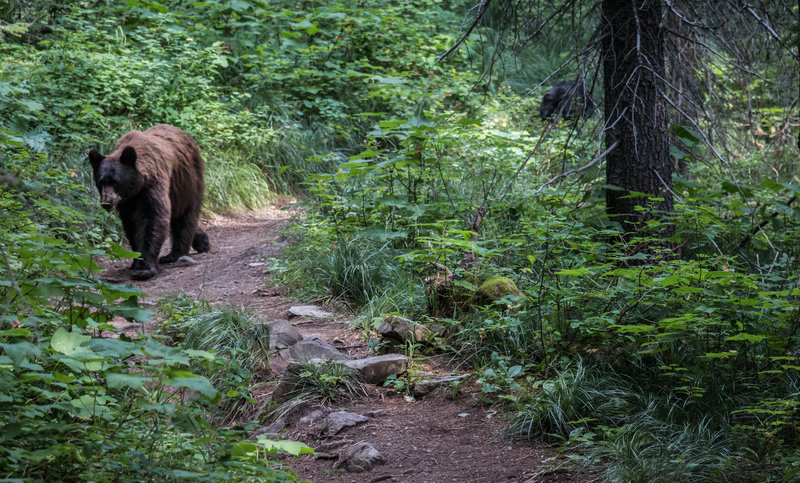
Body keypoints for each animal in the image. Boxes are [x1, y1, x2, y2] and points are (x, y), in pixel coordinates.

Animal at [87, 125, 209, 282]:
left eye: (115, 182)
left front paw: (144, 269)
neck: (136, 187)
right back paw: (202, 241)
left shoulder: (153, 185)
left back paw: (175, 254)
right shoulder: (127, 201)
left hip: (187, 182)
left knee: (185, 217)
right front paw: (135, 260)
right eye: (101, 182)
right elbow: (131, 226)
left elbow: (153, 219)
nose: (107, 203)